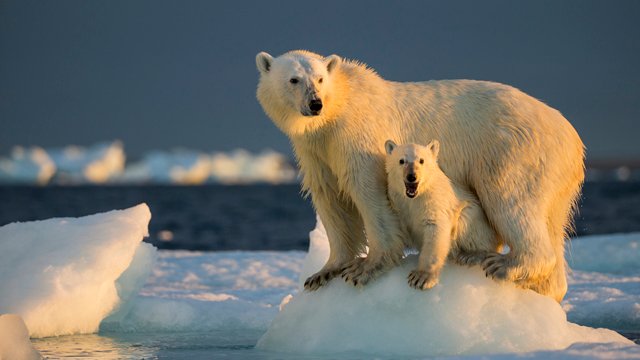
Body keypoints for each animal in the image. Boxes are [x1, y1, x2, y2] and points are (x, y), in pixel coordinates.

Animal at [255, 48, 584, 300]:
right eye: (294, 79)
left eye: (321, 78)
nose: (315, 103)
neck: (339, 108)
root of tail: (572, 138)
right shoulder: (316, 150)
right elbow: (331, 200)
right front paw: (323, 273)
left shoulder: (358, 136)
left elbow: (369, 191)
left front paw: (366, 267)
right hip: (555, 178)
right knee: (551, 222)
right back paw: (544, 288)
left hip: (514, 150)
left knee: (510, 200)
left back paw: (503, 265)